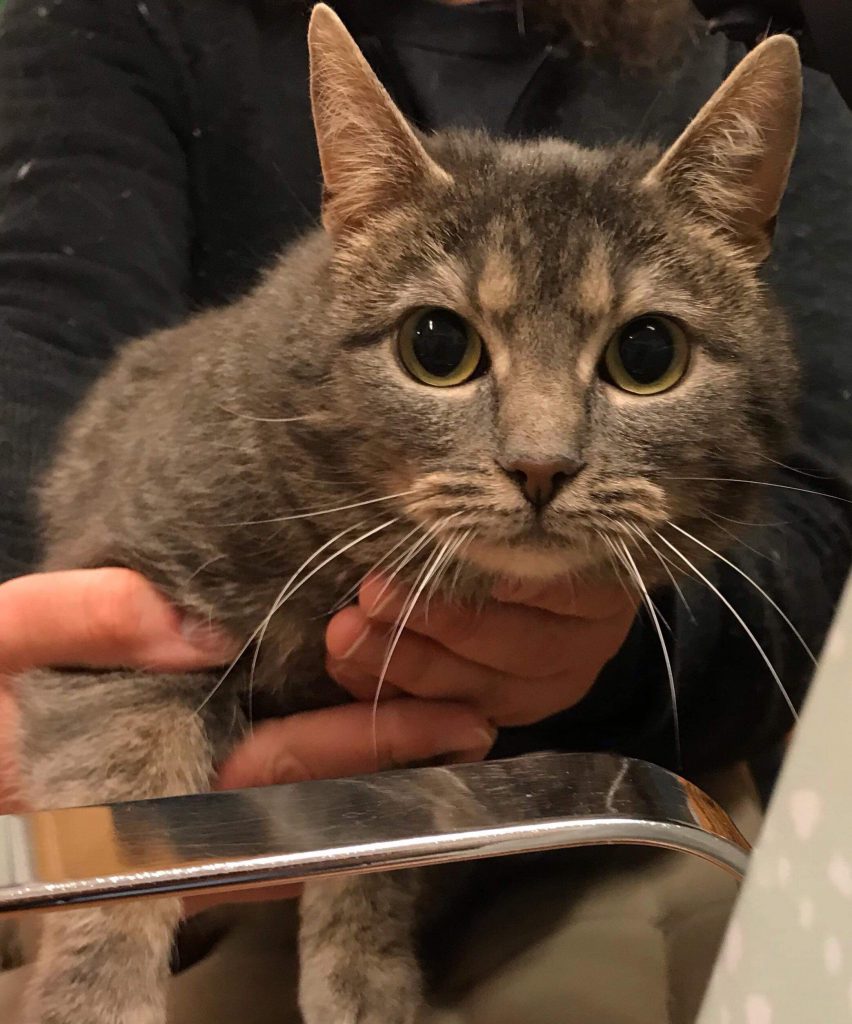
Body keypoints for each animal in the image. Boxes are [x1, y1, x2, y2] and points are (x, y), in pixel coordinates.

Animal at [14, 6, 801, 1023]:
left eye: (648, 354)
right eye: (437, 345)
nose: (540, 465)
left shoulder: (419, 731)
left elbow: (381, 860)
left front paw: (364, 981)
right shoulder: (121, 616)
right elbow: (125, 832)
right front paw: (95, 999)